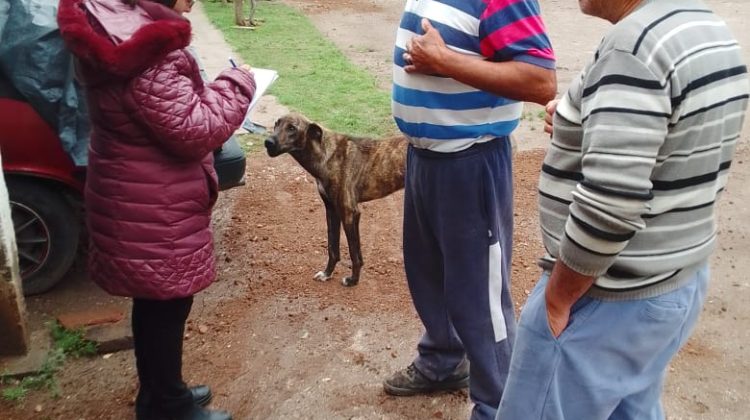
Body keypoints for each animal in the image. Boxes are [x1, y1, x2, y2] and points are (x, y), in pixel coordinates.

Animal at [266, 113, 408, 288]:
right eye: (276, 124)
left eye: (292, 128)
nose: (268, 142)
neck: (326, 155)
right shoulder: (332, 210)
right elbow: (333, 248)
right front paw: (327, 274)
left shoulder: (349, 212)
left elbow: (354, 254)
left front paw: (353, 280)